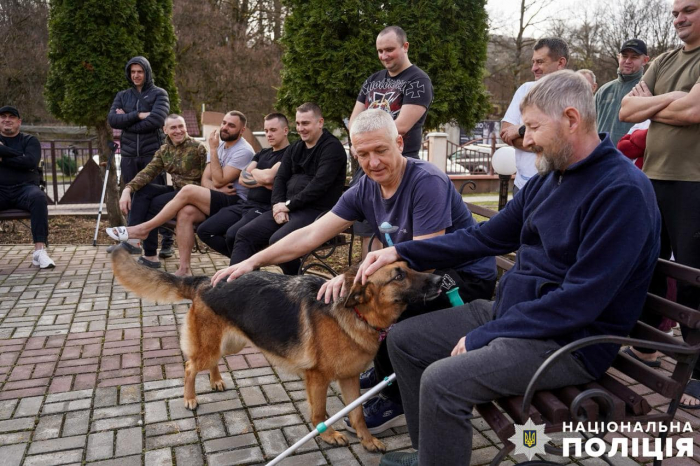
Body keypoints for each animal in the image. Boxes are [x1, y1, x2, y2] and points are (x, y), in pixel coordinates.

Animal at [111, 248, 440, 452]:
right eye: (398, 275)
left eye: (410, 267)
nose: (440, 279)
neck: (357, 313)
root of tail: (205, 281)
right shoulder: (318, 378)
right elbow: (318, 412)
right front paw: (329, 435)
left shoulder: (348, 378)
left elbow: (358, 414)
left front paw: (367, 441)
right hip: (211, 347)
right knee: (191, 366)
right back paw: (190, 398)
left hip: (231, 344)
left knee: (212, 362)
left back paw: (216, 380)